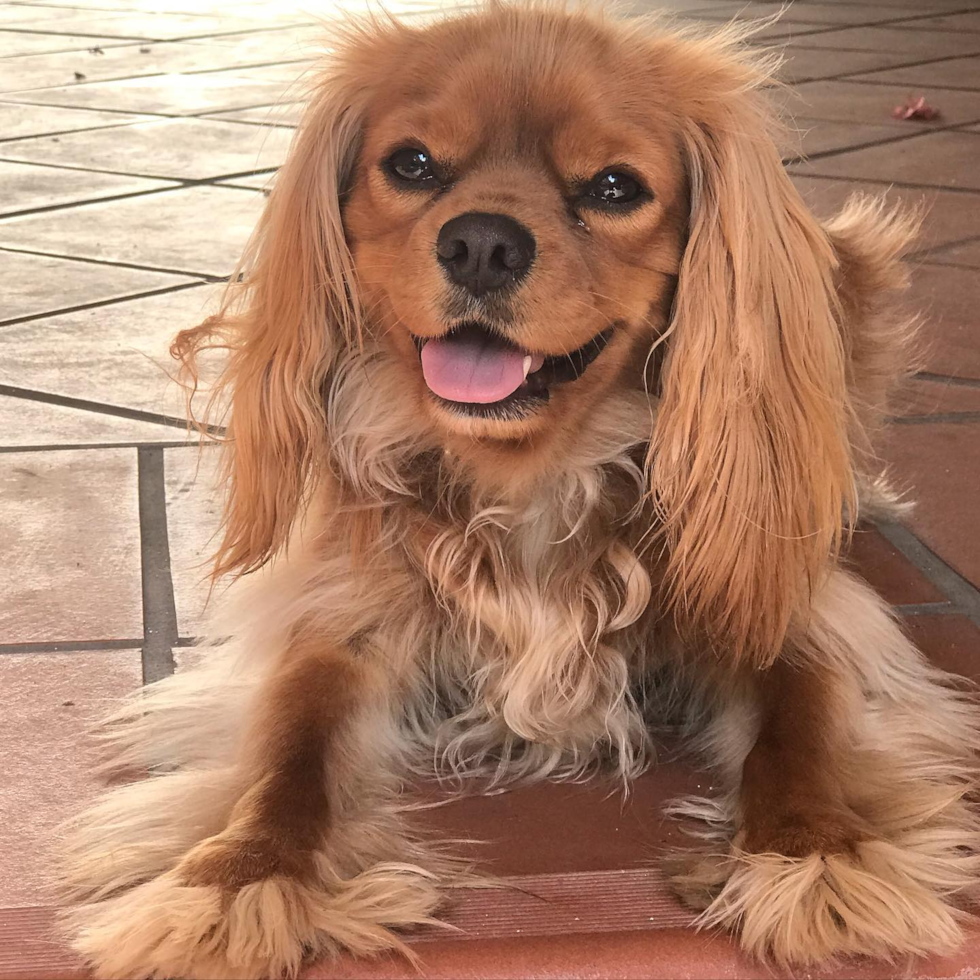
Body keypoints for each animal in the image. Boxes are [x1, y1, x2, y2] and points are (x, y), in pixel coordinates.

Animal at [59, 3, 980, 976]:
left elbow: (797, 730)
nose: (482, 243)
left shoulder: (782, 605)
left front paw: (818, 854)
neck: (534, 475)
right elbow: (289, 746)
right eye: (412, 164)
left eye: (614, 186)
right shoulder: (336, 617)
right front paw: (236, 875)